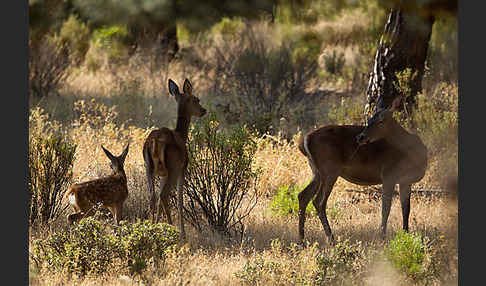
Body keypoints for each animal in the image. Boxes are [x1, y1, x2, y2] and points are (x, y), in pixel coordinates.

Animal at [142, 77, 207, 239]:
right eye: (196, 99)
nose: (203, 110)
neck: (182, 135)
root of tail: (154, 142)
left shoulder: (162, 174)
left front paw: (156, 224)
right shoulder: (182, 169)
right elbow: (180, 200)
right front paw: (182, 233)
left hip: (149, 168)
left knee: (153, 196)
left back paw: (150, 228)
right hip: (173, 168)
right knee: (164, 195)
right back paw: (173, 231)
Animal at [298, 98, 428, 244]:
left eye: (381, 120)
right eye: (369, 119)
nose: (360, 137)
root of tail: (305, 140)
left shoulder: (406, 181)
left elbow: (406, 208)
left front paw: (406, 233)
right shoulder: (388, 175)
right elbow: (386, 208)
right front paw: (382, 236)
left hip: (317, 171)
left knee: (303, 195)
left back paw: (302, 239)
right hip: (329, 169)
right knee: (319, 201)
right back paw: (331, 239)